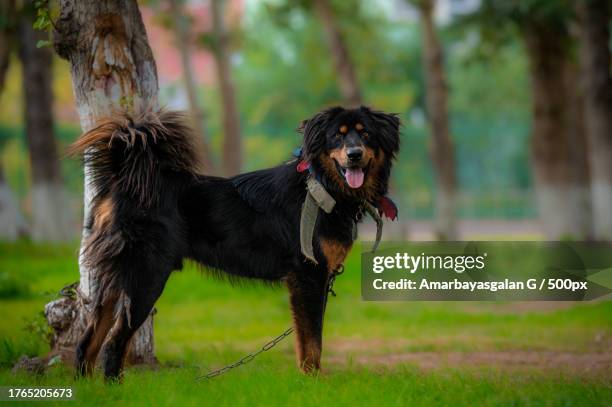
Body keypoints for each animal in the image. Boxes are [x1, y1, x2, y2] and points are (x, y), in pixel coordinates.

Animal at [69, 105, 400, 380]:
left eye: (366, 134)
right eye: (337, 136)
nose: (354, 154)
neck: (321, 187)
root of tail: (124, 179)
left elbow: (307, 338)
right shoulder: (308, 275)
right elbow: (312, 341)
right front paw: (314, 382)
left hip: (114, 280)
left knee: (88, 341)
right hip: (145, 276)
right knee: (114, 343)